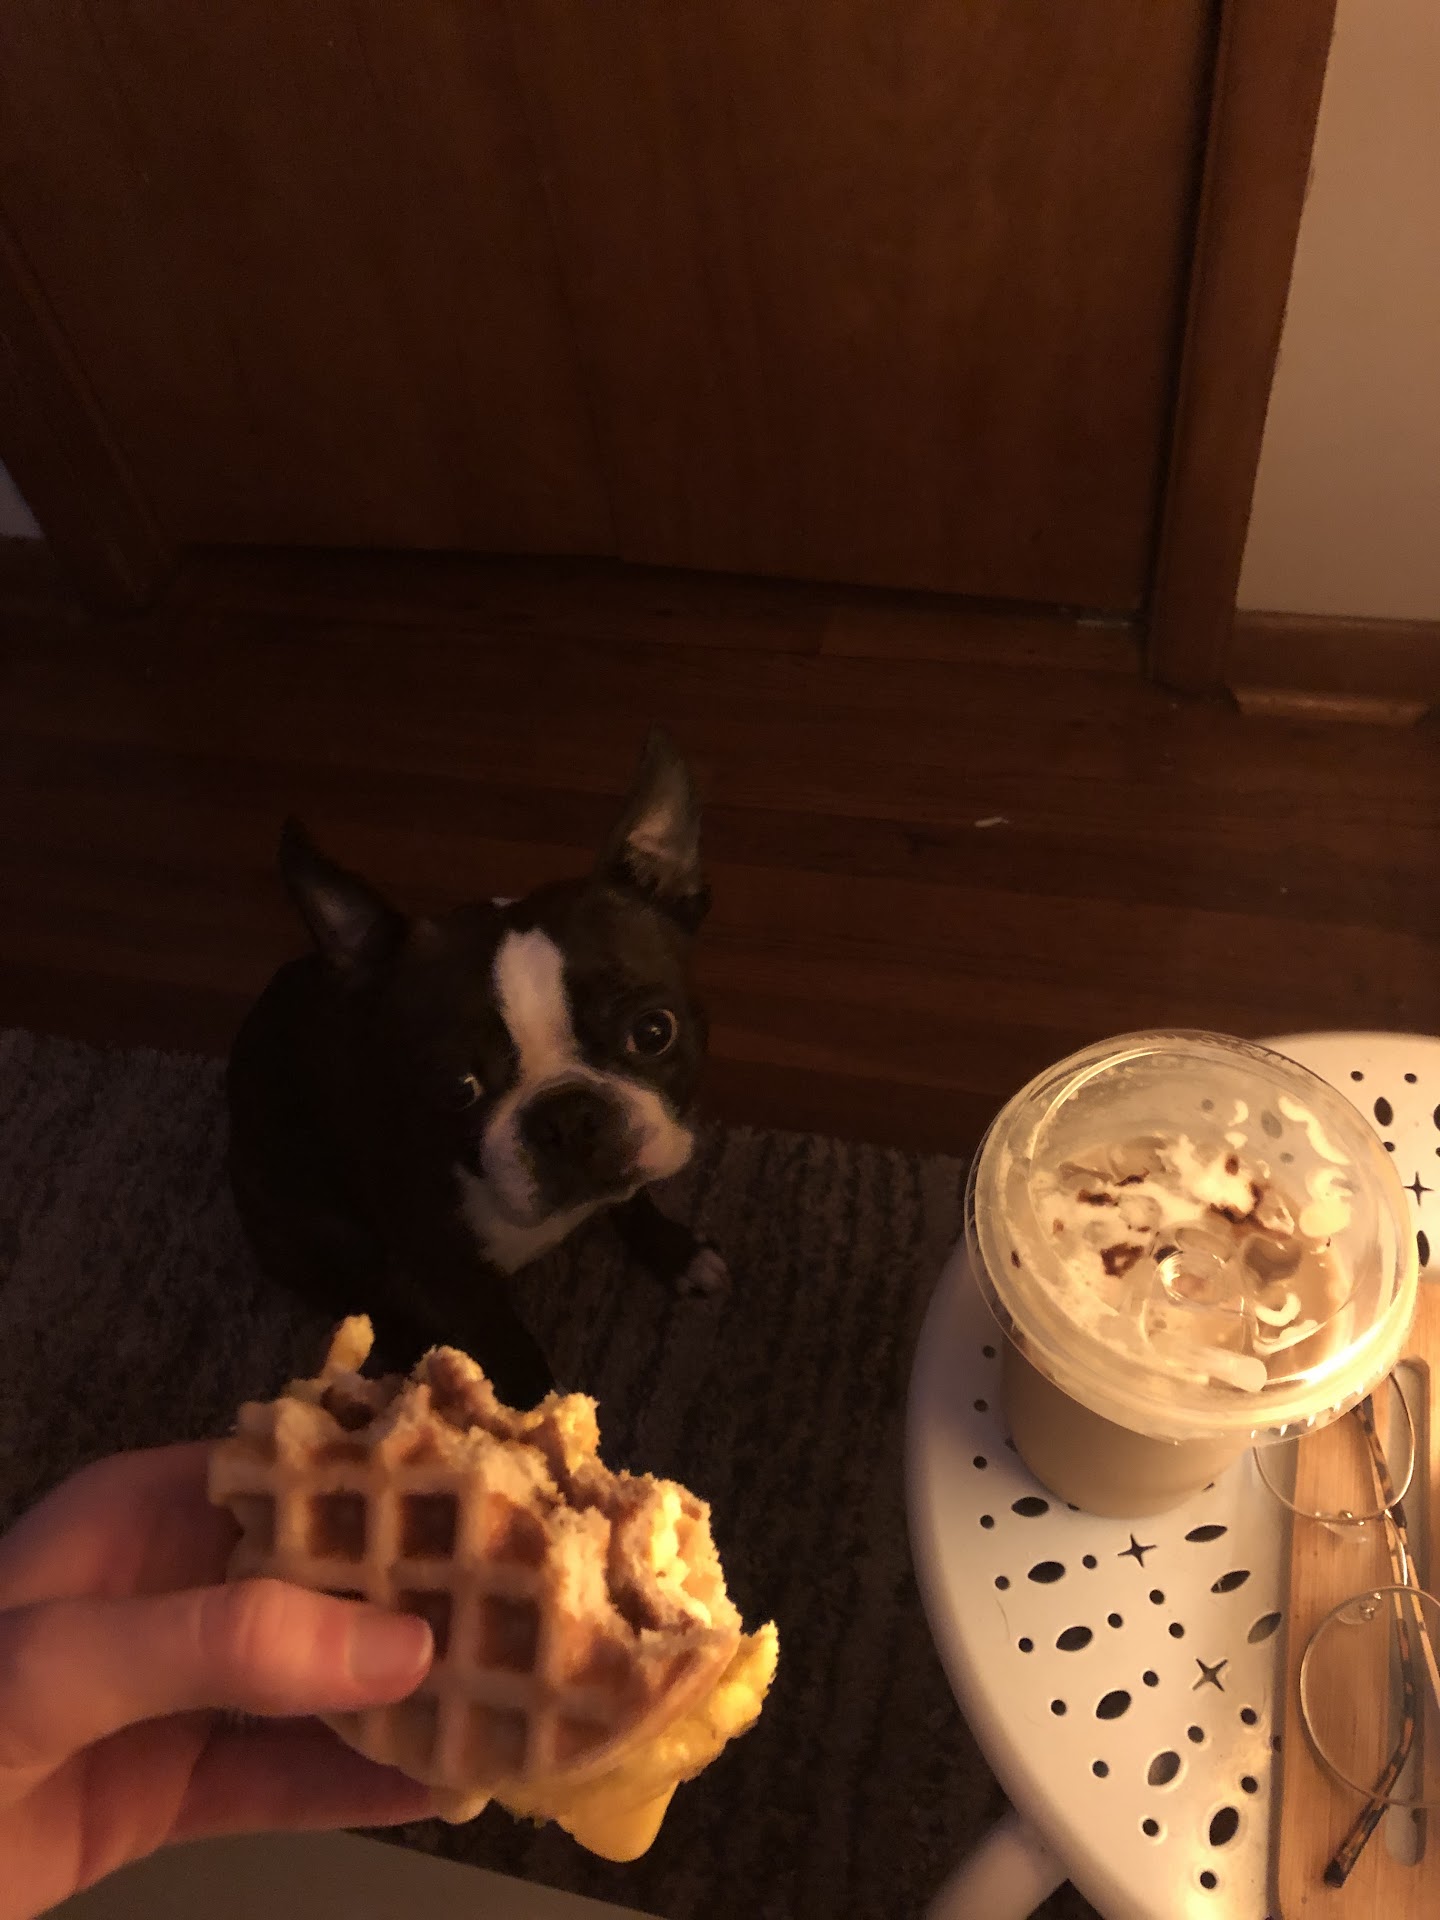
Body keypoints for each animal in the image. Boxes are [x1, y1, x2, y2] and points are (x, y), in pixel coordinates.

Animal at [226, 729, 724, 1407]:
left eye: (654, 1031)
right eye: (456, 1087)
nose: (567, 1117)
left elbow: (636, 1199)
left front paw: (675, 1252)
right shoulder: (453, 1276)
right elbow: (511, 1348)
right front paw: (530, 1420)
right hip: (316, 1231)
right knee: (364, 1298)